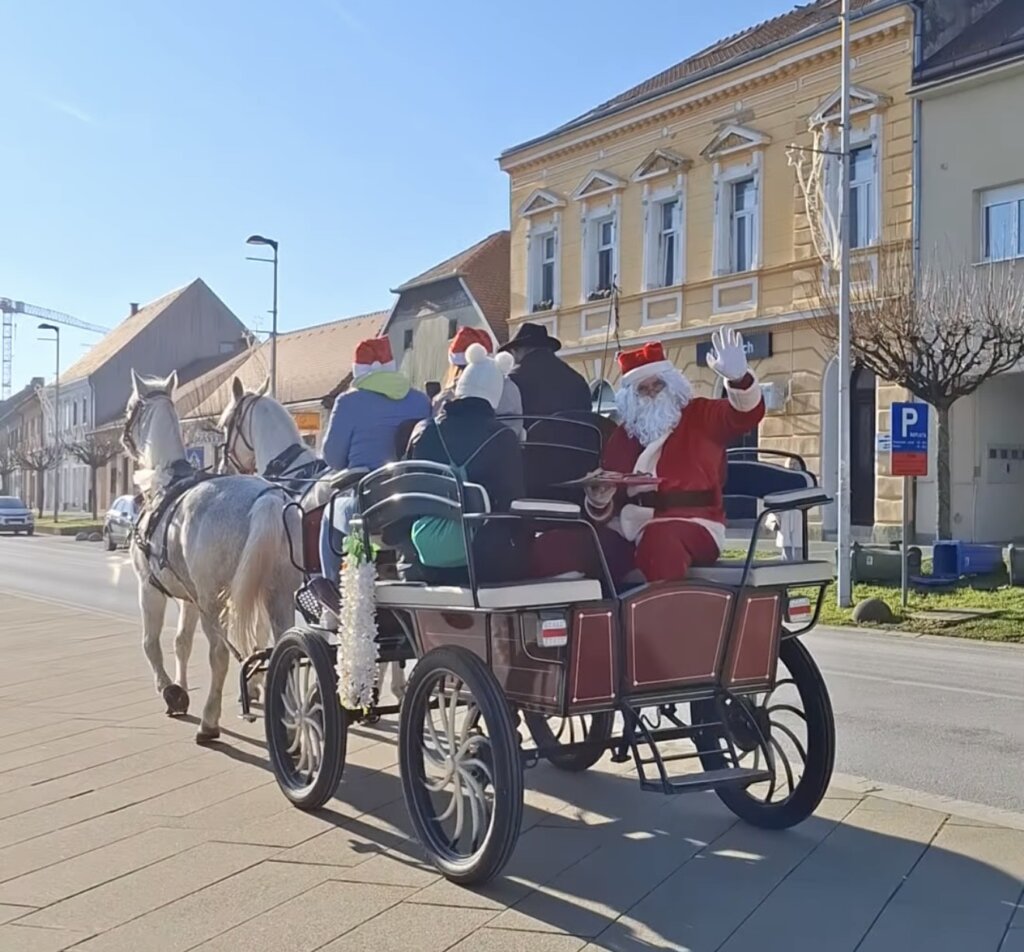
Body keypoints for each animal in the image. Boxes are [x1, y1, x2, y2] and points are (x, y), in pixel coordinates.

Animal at [123, 370, 299, 741]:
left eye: (131, 408)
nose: (123, 438)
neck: (166, 482)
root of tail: (268, 497)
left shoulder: (150, 587)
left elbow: (151, 643)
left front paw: (170, 690)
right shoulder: (188, 597)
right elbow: (181, 642)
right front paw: (180, 686)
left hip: (214, 601)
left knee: (219, 654)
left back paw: (209, 721)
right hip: (278, 594)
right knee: (283, 647)